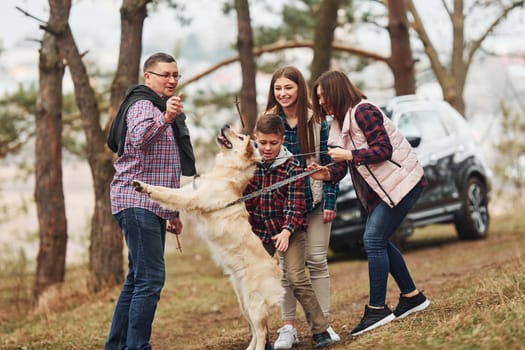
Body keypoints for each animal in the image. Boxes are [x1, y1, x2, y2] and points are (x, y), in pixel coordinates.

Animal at [133, 125, 284, 350]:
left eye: (240, 137)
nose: (226, 126)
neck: (225, 174)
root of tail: (276, 269)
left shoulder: (191, 199)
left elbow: (168, 195)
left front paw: (145, 187)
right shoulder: (188, 191)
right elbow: (164, 189)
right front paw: (142, 185)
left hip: (254, 303)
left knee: (262, 332)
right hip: (243, 303)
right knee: (257, 332)